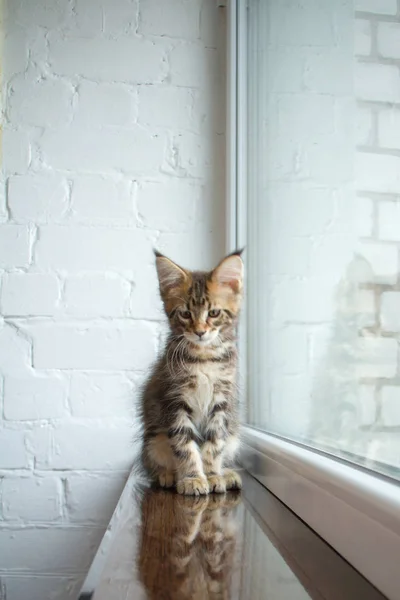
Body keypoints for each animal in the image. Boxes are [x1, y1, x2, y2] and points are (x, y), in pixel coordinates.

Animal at [139, 250, 242, 496]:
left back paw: (227, 473)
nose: (200, 332)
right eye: (185, 314)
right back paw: (168, 475)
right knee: (153, 465)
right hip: (153, 439)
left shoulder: (221, 401)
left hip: (234, 435)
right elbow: (184, 445)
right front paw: (193, 478)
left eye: (213, 313)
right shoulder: (175, 400)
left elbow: (214, 444)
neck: (204, 358)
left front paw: (213, 476)